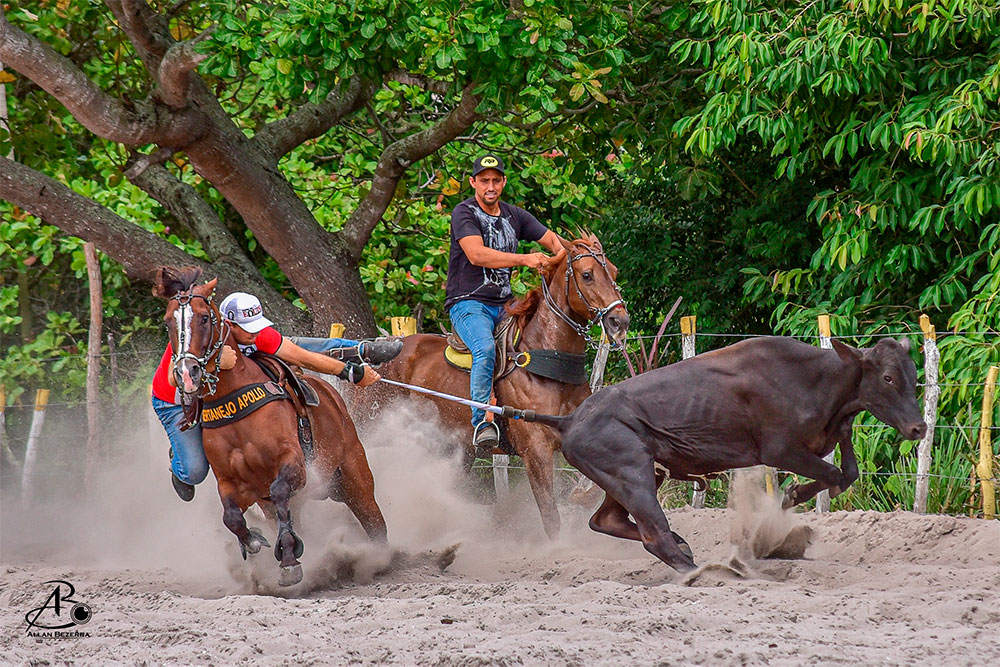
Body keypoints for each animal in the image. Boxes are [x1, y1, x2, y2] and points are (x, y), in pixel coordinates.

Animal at [153, 267, 387, 587]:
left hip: (355, 478)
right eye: (168, 321)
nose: (187, 373)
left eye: (204, 318)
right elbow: (232, 517)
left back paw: (383, 559)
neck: (237, 410)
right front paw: (255, 542)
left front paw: (288, 558)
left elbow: (278, 492)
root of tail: (333, 396)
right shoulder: (231, 481)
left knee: (375, 522)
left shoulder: (294, 463)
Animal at [365, 234, 629, 538]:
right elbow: (550, 515)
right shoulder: (535, 451)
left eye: (614, 272)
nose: (620, 321)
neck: (546, 362)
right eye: (587, 275)